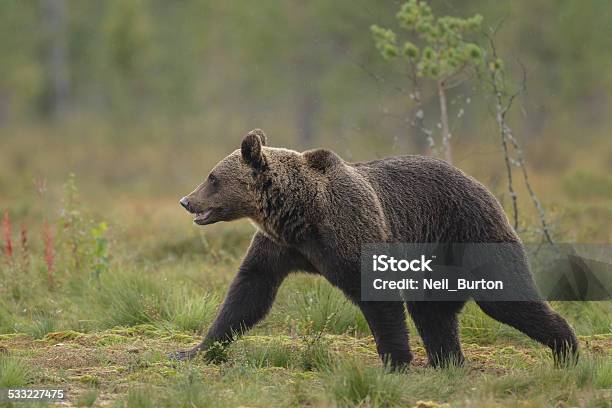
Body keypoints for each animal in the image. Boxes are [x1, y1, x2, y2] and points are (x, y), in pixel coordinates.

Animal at [173, 130, 580, 370]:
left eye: (212, 178)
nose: (186, 201)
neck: (300, 213)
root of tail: (482, 185)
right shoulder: (279, 247)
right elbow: (248, 293)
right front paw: (194, 350)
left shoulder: (350, 230)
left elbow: (378, 297)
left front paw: (395, 361)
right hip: (434, 264)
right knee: (432, 312)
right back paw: (446, 361)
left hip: (470, 232)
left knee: (505, 297)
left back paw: (567, 349)